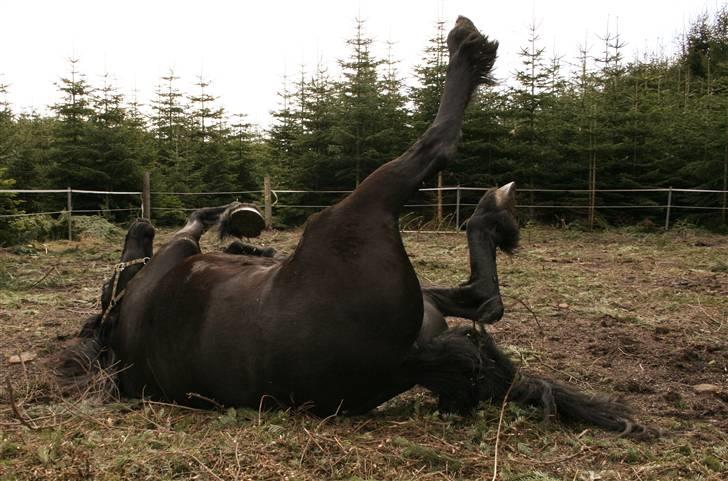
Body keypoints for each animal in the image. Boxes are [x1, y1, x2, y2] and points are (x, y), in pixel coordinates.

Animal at [59, 17, 644, 436]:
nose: (140, 227)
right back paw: (467, 53)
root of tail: (402, 363)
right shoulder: (174, 255)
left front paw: (235, 223)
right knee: (435, 151)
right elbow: (192, 226)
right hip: (349, 215)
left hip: (420, 294)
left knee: (483, 299)